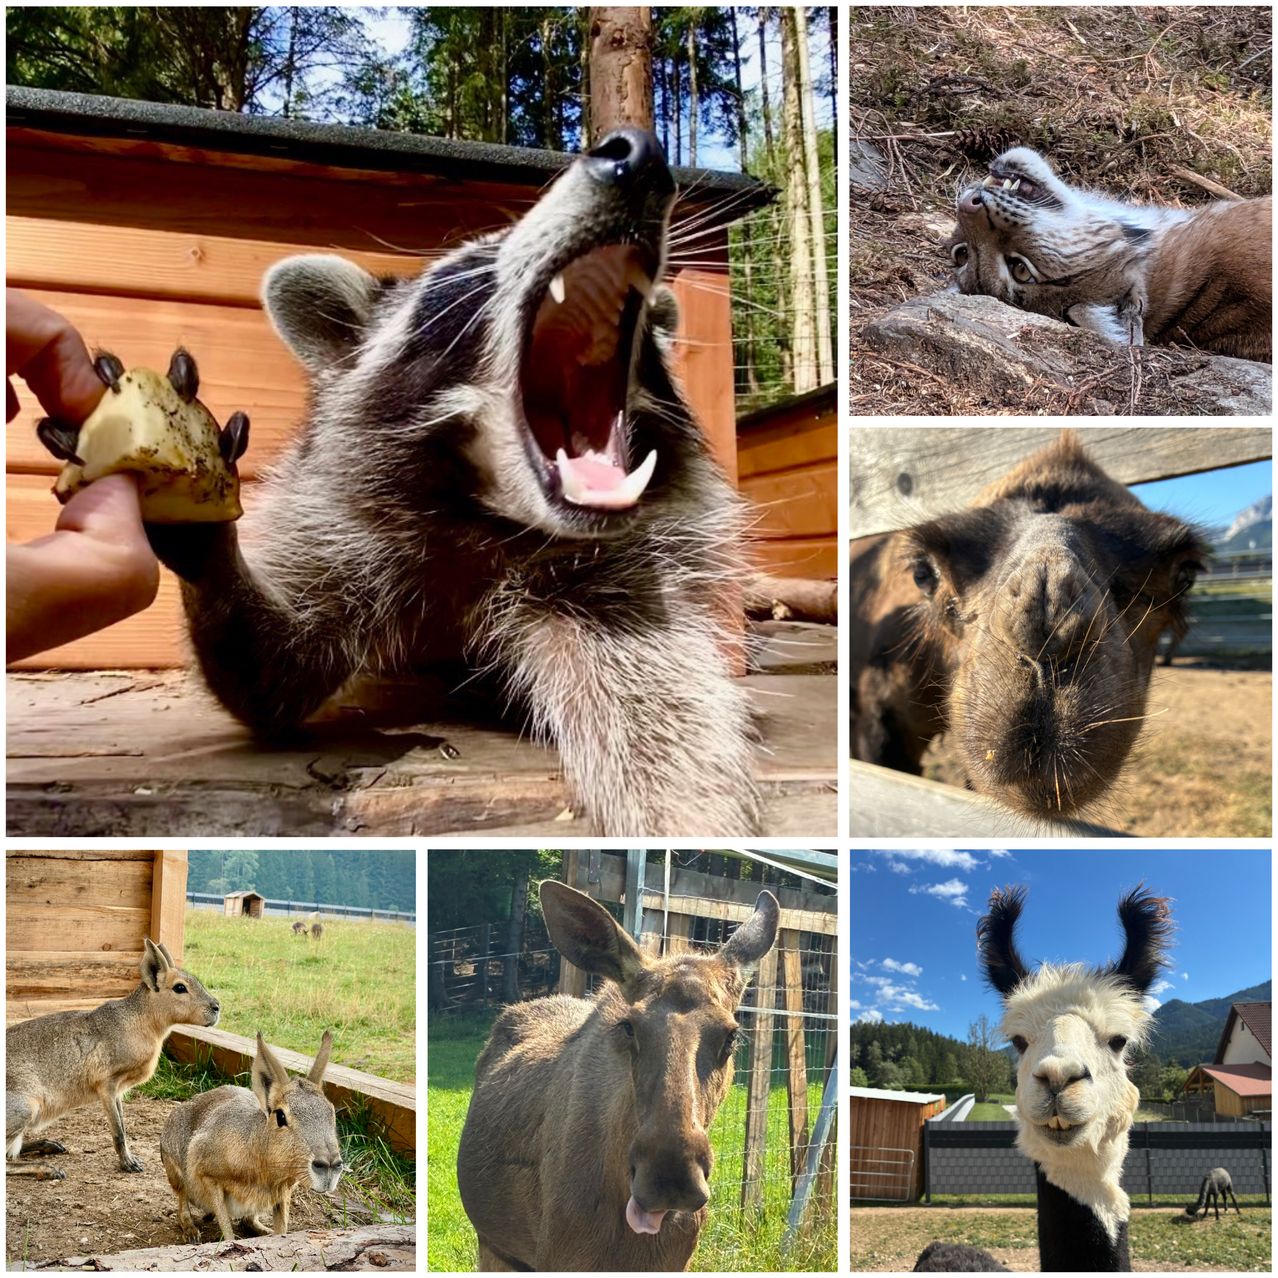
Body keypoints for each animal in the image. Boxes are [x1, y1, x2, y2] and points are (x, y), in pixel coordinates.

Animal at [86, 130, 760, 836]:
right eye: (475, 264)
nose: (638, 155)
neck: (490, 515)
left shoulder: (621, 567)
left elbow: (659, 701)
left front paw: (688, 817)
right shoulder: (340, 524)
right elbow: (279, 675)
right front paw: (209, 549)